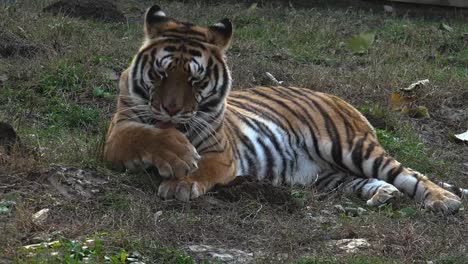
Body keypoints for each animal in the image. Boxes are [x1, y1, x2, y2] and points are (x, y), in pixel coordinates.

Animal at [104, 4, 466, 214]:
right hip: (330, 176)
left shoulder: (222, 153)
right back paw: (384, 195)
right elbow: (143, 136)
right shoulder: (117, 133)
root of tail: (343, 101)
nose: (171, 109)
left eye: (196, 80)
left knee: (410, 174)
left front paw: (181, 181)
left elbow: (203, 165)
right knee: (367, 181)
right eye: (160, 74)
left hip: (352, 148)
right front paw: (175, 154)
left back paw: (444, 201)